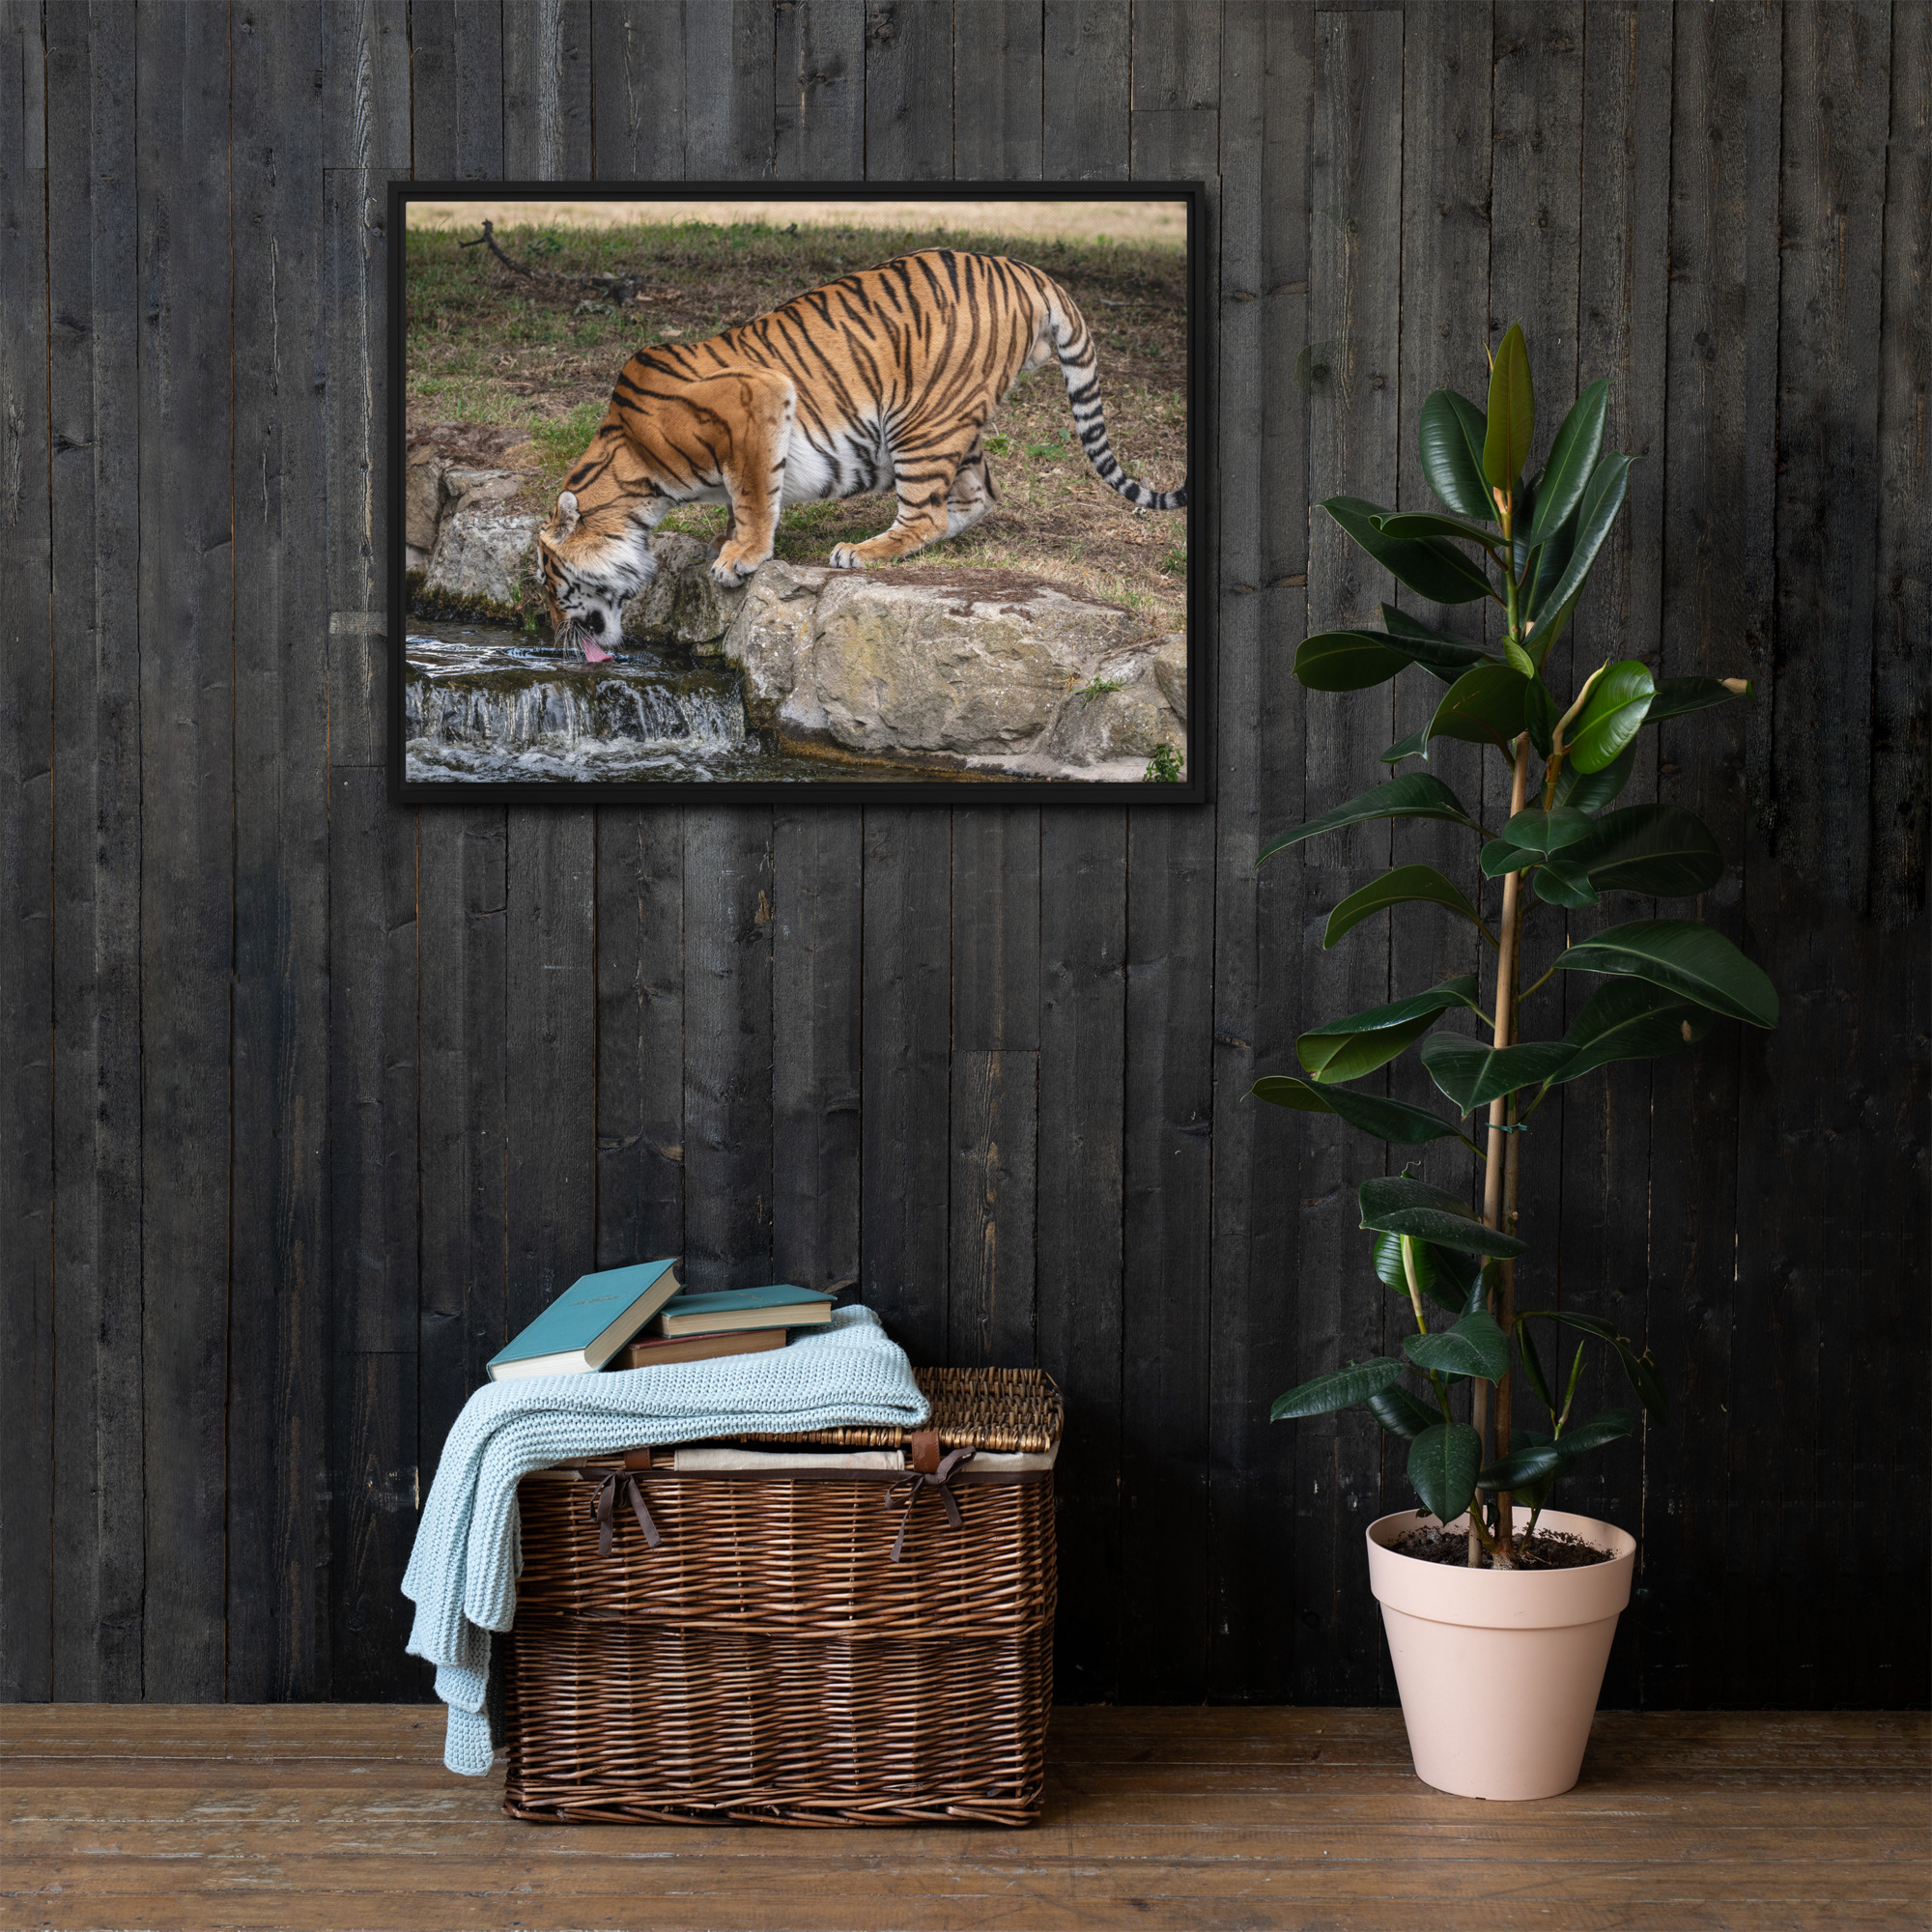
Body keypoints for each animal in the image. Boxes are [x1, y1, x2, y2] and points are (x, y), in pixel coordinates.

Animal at [534, 247, 1186, 662]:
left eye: (549, 580)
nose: (551, 632)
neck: (634, 474)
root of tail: (1023, 269)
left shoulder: (757, 399)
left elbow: (753, 496)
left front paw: (739, 558)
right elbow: (747, 498)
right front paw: (727, 542)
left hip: (920, 421)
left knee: (926, 512)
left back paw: (862, 551)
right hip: (955, 422)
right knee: (977, 495)